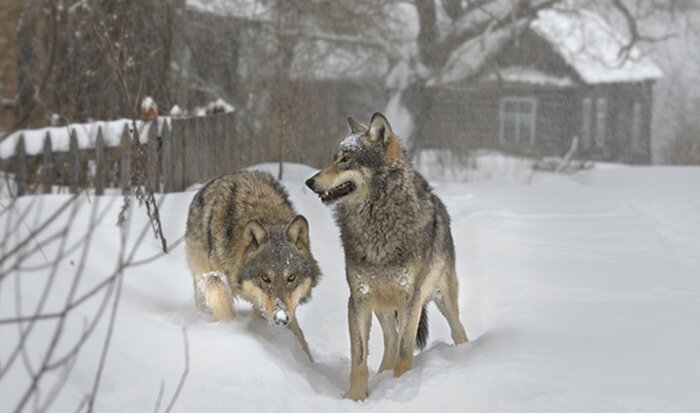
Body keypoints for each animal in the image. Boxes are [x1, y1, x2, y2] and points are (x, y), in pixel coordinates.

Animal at [183, 169, 320, 358]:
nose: (281, 319)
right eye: (265, 278)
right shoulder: (214, 278)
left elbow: (298, 334)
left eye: (291, 277)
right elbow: (224, 309)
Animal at [304, 112, 464, 400]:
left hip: (442, 300)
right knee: (390, 341)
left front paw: (400, 389)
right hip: (382, 308)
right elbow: (359, 358)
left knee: (456, 330)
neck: (378, 224)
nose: (309, 182)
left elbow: (404, 352)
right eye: (334, 157)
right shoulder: (358, 298)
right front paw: (356, 397)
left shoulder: (410, 298)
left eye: (346, 158)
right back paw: (382, 377)